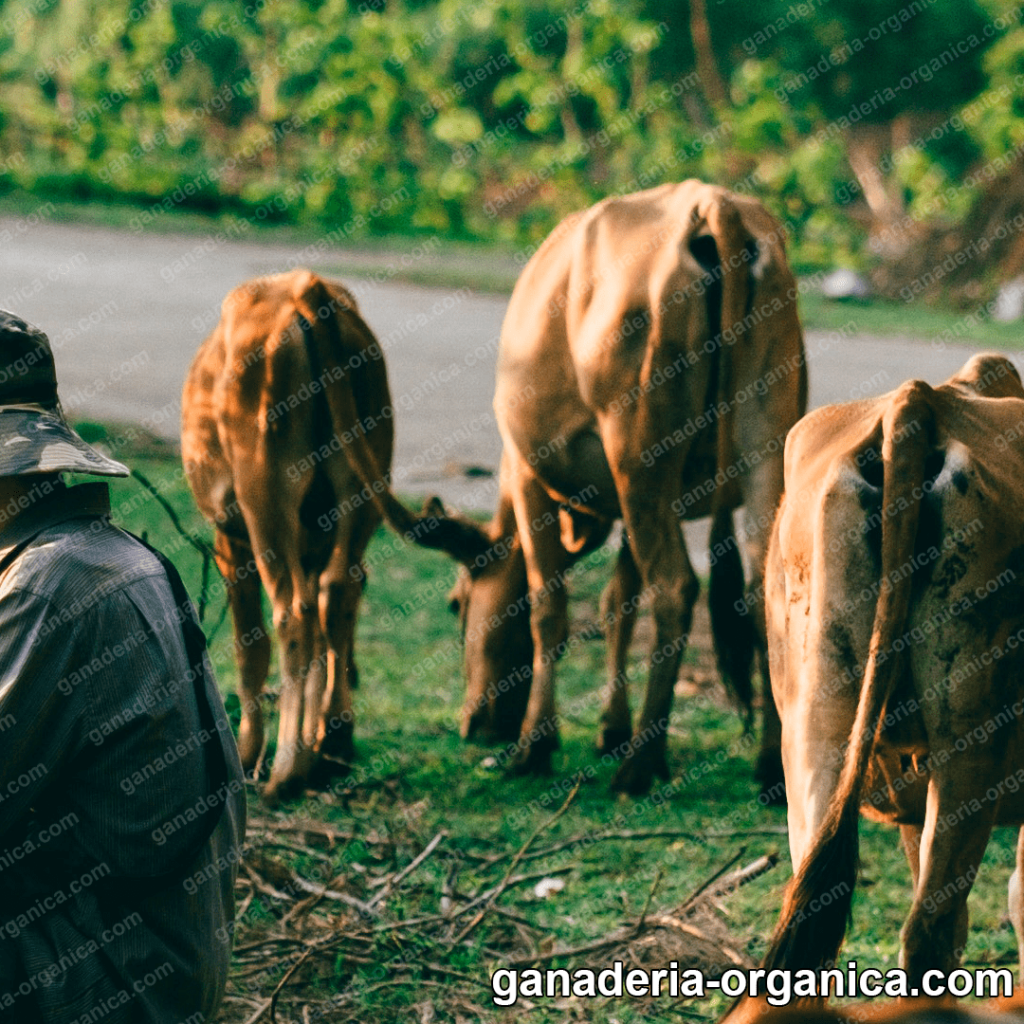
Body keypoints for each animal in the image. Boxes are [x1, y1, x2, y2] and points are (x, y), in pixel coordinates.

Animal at [183, 268, 452, 802]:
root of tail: (309, 288)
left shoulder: (230, 537)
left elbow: (249, 644)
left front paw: (248, 753)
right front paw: (323, 740)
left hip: (265, 493)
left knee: (293, 612)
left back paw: (287, 770)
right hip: (363, 484)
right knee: (338, 591)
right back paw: (332, 743)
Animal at [423, 180, 806, 794]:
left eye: (456, 603)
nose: (476, 725)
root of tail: (714, 206)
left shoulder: (527, 471)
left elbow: (548, 607)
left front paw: (536, 745)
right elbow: (617, 601)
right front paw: (610, 729)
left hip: (637, 443)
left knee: (675, 585)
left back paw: (642, 764)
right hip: (764, 433)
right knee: (758, 589)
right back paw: (770, 765)